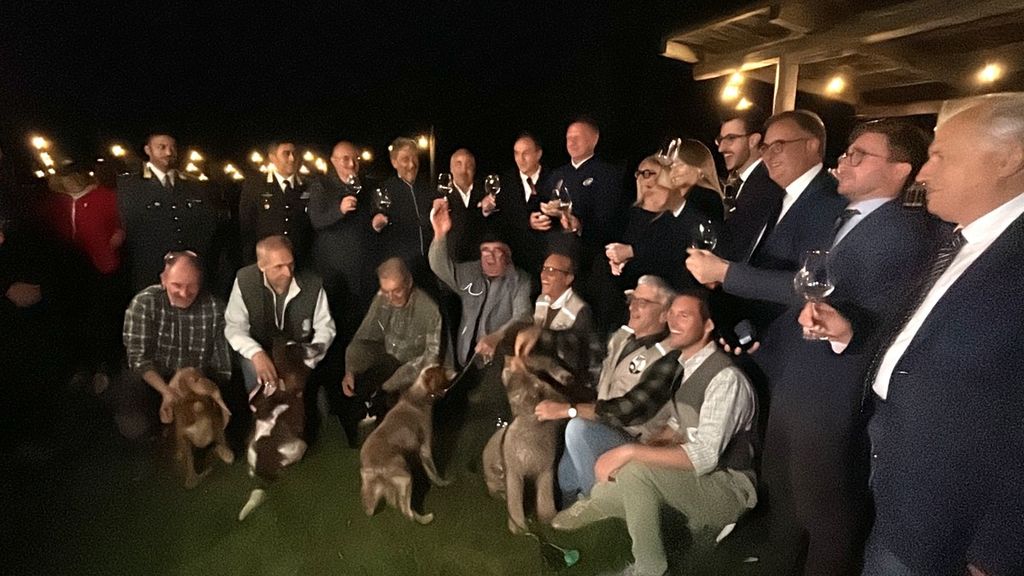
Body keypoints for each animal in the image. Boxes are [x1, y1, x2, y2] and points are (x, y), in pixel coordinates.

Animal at [359, 364, 452, 524]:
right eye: (442, 371)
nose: (454, 372)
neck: (418, 395)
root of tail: (374, 466)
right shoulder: (425, 448)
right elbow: (433, 472)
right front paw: (442, 483)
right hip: (406, 478)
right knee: (407, 512)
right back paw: (425, 518)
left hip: (371, 486)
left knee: (372, 508)